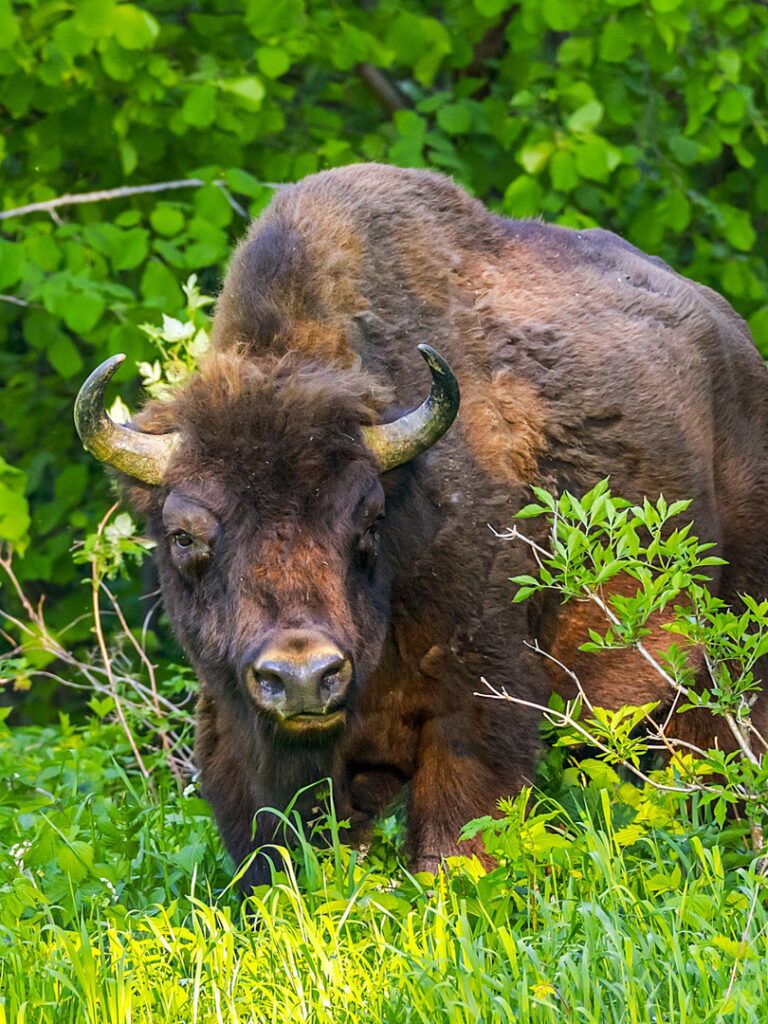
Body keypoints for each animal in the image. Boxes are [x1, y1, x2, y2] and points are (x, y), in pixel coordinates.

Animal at [75, 164, 768, 886]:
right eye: (185, 535)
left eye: (369, 521)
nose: (302, 676)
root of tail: (738, 346)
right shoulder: (239, 738)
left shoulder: (477, 701)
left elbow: (454, 839)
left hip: (735, 644)